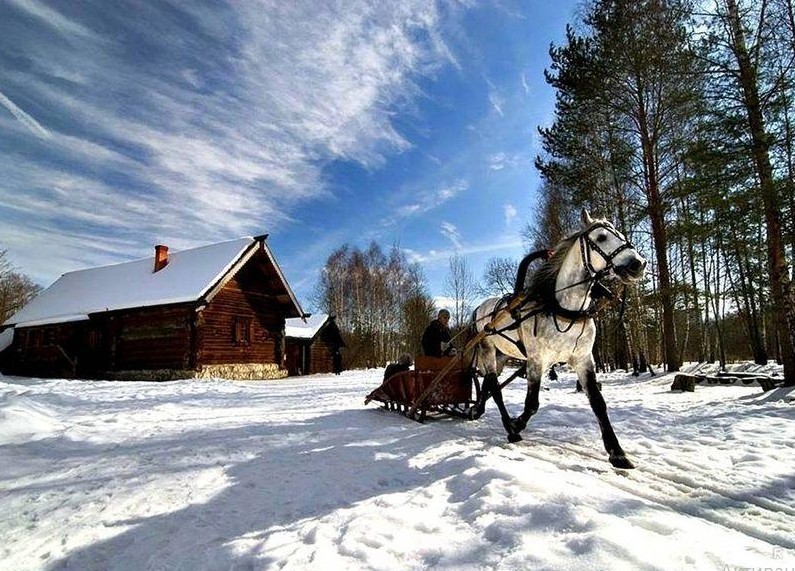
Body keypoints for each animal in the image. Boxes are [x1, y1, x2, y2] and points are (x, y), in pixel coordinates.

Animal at [472, 210, 648, 470]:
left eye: (622, 235)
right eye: (602, 237)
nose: (637, 264)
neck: (565, 309)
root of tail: (479, 309)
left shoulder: (584, 359)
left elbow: (598, 402)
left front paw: (617, 452)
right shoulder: (537, 360)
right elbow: (532, 403)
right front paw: (517, 423)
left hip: (503, 355)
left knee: (487, 384)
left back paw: (477, 408)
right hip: (487, 349)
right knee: (495, 386)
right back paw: (508, 426)